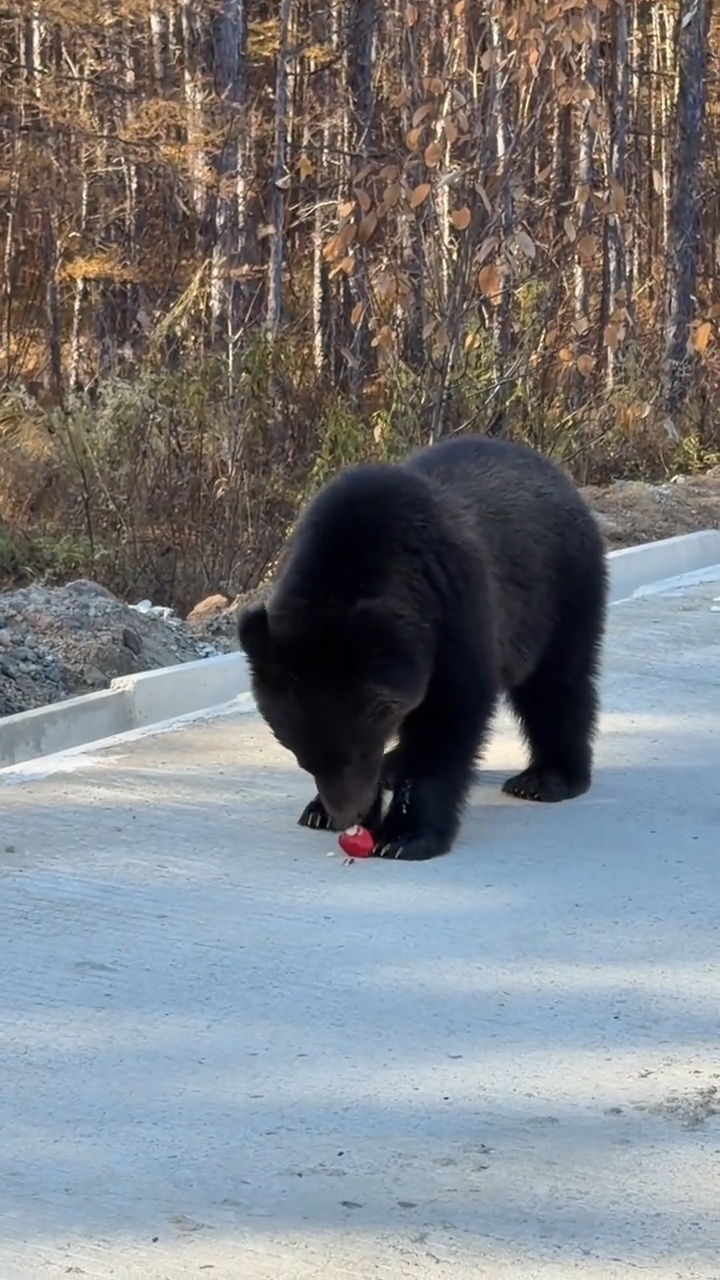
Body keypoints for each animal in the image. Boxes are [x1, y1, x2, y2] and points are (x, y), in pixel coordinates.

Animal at [238, 434, 608, 862]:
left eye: (357, 751)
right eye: (302, 756)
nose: (349, 814)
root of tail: (554, 472)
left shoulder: (453, 607)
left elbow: (448, 718)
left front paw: (405, 835)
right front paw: (319, 809)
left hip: (562, 588)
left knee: (557, 683)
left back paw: (548, 777)